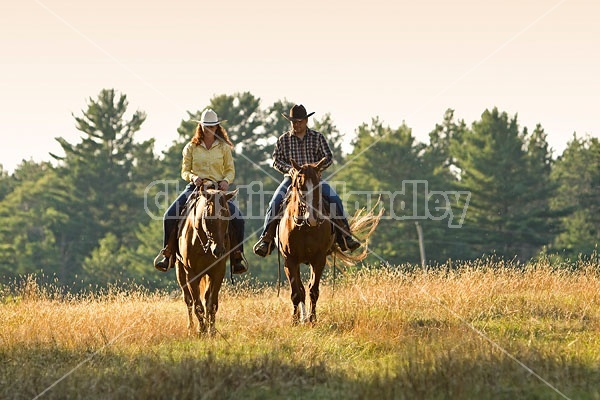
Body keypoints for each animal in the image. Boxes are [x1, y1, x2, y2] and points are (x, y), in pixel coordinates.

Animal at [175, 184, 236, 334]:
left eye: (227, 216)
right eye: (209, 218)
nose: (218, 250)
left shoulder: (218, 271)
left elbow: (211, 303)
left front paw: (211, 331)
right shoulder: (191, 273)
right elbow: (197, 305)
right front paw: (201, 331)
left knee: (206, 297)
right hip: (180, 270)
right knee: (188, 300)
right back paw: (191, 328)